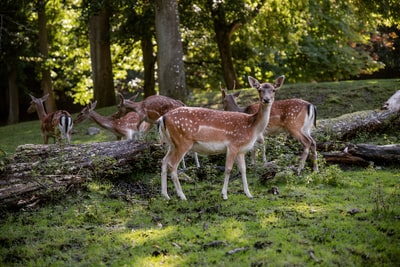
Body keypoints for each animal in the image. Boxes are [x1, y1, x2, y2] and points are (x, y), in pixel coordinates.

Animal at [156, 75, 284, 201]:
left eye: (273, 90)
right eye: (259, 89)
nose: (266, 99)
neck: (251, 127)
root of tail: (163, 118)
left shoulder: (241, 150)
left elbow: (243, 169)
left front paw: (249, 194)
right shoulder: (233, 145)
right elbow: (228, 169)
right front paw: (224, 195)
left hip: (172, 143)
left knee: (164, 161)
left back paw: (165, 195)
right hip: (182, 142)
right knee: (172, 165)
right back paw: (182, 196)